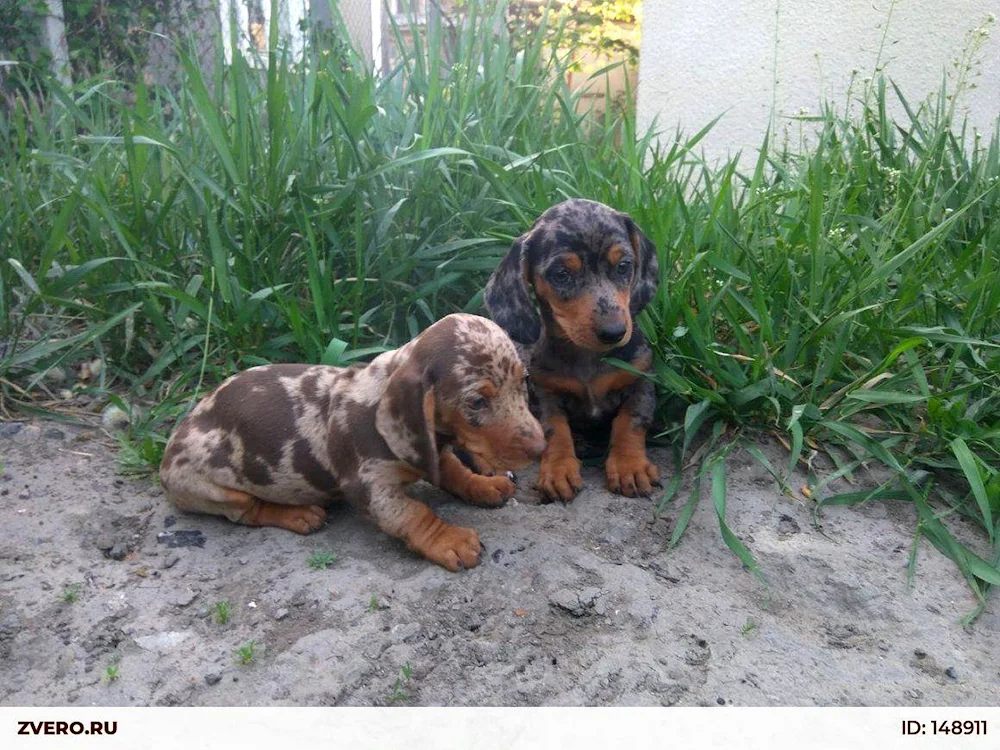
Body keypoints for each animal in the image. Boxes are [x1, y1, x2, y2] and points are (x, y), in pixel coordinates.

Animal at [159, 314, 544, 572]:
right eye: (477, 402)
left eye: (523, 381)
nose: (540, 448)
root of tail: (174, 441)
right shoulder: (370, 486)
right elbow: (415, 513)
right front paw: (451, 540)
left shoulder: (431, 451)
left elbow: (454, 472)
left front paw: (484, 484)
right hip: (215, 489)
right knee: (247, 511)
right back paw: (298, 514)